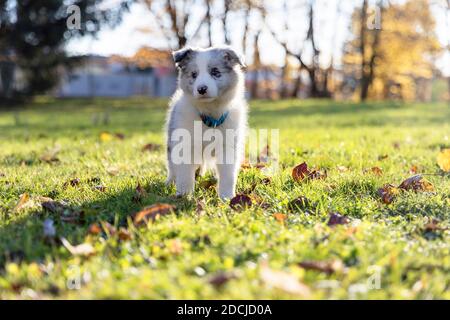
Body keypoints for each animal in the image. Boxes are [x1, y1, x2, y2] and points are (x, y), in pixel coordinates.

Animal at [166, 46, 246, 199]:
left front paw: (227, 197)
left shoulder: (227, 147)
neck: (210, 114)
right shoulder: (185, 145)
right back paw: (170, 182)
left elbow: (228, 175)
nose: (202, 89)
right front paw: (184, 195)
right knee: (172, 166)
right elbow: (184, 174)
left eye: (215, 72)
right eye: (194, 74)